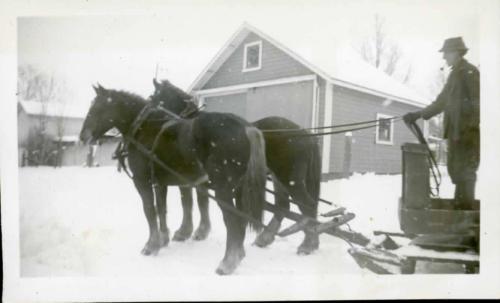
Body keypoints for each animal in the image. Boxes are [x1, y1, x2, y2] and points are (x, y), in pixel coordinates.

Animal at [81, 83, 270, 276]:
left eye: (97, 108)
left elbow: (150, 211)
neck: (143, 128)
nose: (83, 136)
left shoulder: (142, 182)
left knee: (232, 220)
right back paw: (238, 255)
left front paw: (151, 245)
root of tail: (246, 126)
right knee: (241, 220)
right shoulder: (161, 183)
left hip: (223, 189)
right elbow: (162, 209)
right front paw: (163, 239)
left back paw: (228, 262)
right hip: (238, 189)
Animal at [150, 79, 320, 255]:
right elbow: (199, 202)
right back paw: (267, 238)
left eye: (153, 96)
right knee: (283, 206)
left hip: (290, 178)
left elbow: (192, 201)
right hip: (278, 178)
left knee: (308, 205)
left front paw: (190, 232)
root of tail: (306, 134)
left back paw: (308, 244)